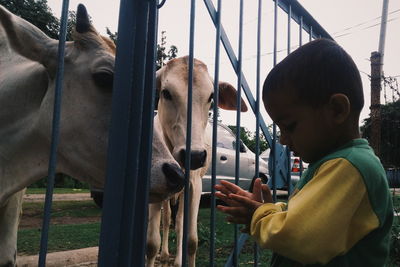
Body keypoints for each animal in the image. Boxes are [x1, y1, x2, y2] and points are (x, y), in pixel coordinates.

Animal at [147, 57, 247, 267]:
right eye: (166, 93)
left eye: (211, 96)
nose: (194, 155)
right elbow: (151, 243)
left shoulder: (195, 185)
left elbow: (191, 240)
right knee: (167, 219)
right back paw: (165, 254)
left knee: (179, 223)